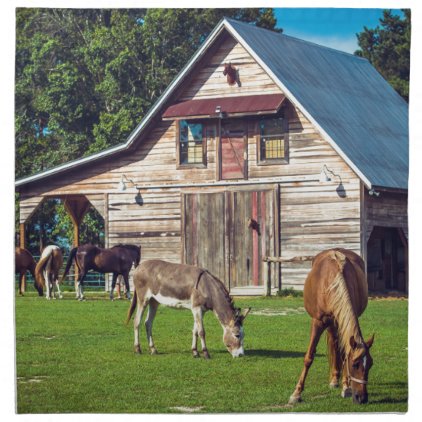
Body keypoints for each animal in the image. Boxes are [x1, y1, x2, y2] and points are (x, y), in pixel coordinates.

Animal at [288, 249, 374, 404]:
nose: (362, 398)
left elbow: (345, 353)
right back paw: (334, 380)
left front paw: (346, 387)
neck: (333, 281)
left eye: (370, 364)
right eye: (355, 364)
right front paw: (296, 393)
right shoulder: (318, 322)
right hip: (331, 324)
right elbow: (309, 356)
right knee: (334, 344)